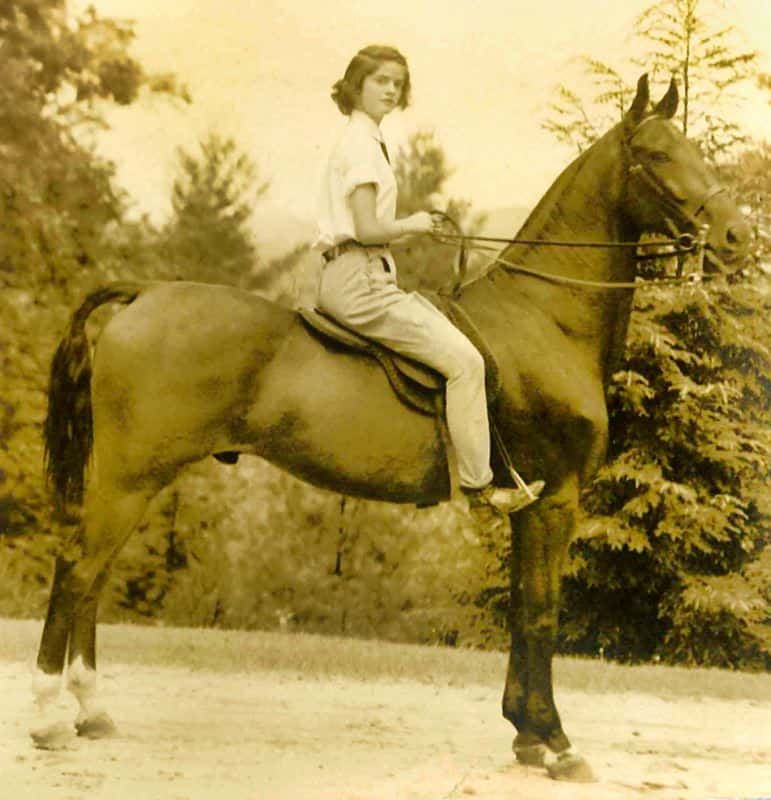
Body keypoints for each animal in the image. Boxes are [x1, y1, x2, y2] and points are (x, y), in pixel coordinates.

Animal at [30, 76, 748, 780]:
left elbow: (522, 610)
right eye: (657, 155)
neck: (544, 317)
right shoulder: (557, 499)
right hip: (131, 478)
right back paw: (48, 717)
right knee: (77, 567)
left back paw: (90, 711)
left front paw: (525, 734)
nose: (737, 234)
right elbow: (543, 613)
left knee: (93, 574)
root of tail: (143, 293)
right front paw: (557, 742)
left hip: (133, 480)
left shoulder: (531, 506)